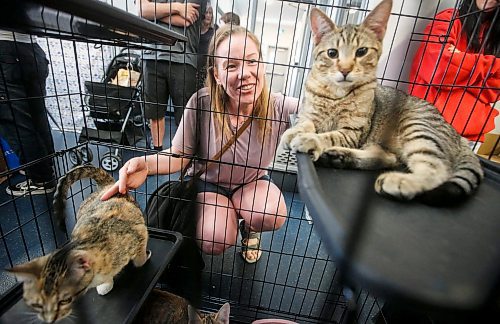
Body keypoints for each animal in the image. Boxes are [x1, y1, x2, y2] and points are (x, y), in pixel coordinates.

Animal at [5, 166, 149, 322]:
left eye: (62, 300)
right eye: (37, 304)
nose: (48, 318)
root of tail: (108, 186)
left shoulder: (140, 233)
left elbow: (140, 259)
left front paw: (144, 257)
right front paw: (105, 284)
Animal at [280, 0, 482, 204]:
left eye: (361, 51)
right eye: (332, 53)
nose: (345, 70)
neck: (336, 94)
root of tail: (459, 137)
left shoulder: (353, 132)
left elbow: (330, 135)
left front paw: (310, 138)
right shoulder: (308, 114)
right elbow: (305, 123)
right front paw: (294, 132)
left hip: (417, 126)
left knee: (437, 169)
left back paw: (399, 181)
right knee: (389, 158)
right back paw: (339, 157)